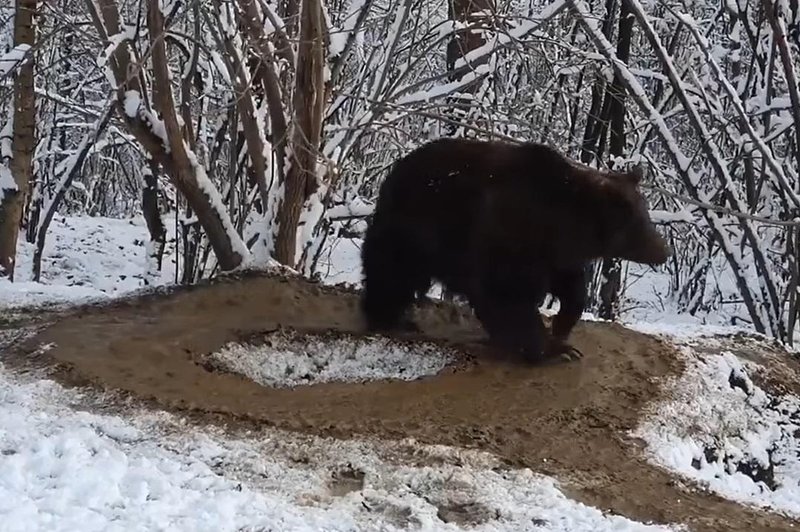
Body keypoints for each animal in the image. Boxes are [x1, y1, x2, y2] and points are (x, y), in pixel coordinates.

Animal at [360, 137, 672, 362]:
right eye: (640, 222)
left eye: (645, 215)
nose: (664, 250)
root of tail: (393, 171)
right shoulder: (510, 238)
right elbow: (507, 294)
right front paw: (550, 349)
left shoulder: (556, 256)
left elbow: (571, 288)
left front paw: (561, 330)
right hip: (414, 229)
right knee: (391, 271)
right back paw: (388, 317)